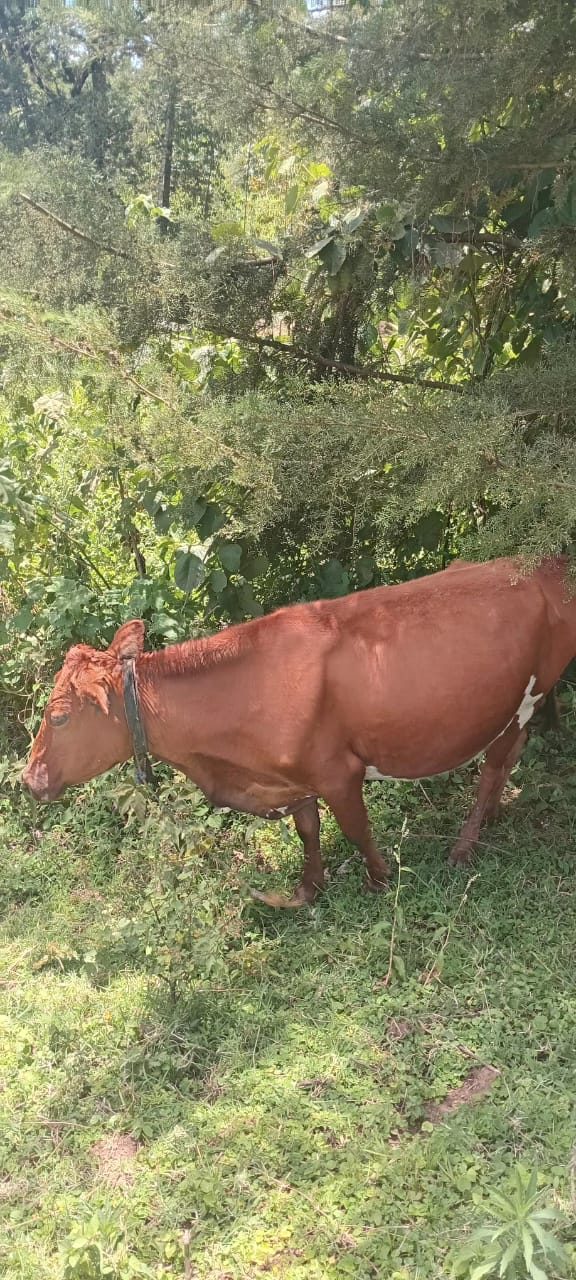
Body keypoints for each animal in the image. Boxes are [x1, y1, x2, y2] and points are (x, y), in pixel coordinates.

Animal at [21, 555, 576, 908]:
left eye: (59, 716)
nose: (28, 780)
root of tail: (545, 562)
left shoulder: (338, 772)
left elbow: (356, 827)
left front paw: (379, 880)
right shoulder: (294, 775)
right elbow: (308, 828)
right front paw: (309, 889)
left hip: (526, 696)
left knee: (495, 765)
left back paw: (465, 844)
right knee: (509, 758)